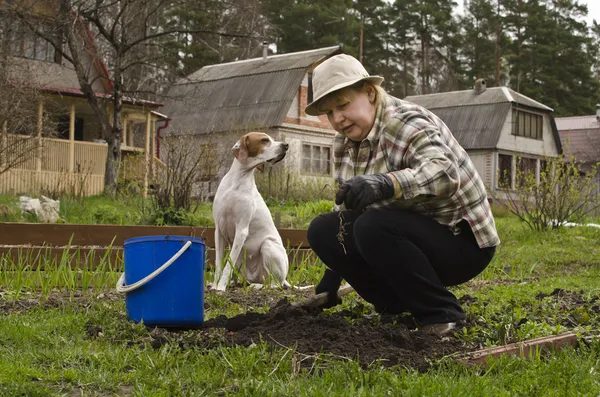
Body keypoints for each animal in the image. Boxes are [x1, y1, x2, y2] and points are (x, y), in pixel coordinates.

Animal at [212, 131, 292, 290]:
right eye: (264, 140)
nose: (286, 145)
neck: (237, 181)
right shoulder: (219, 230)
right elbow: (219, 264)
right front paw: (214, 285)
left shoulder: (241, 230)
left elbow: (227, 265)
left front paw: (221, 287)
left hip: (268, 245)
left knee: (275, 285)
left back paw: (255, 287)